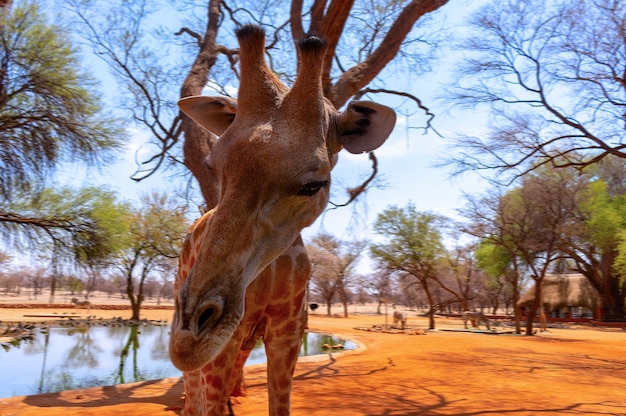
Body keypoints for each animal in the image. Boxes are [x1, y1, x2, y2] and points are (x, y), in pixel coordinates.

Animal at [169, 24, 394, 414]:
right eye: (214, 165)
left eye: (314, 184)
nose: (188, 342)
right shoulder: (225, 343)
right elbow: (209, 402)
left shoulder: (288, 332)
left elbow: (280, 403)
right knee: (194, 397)